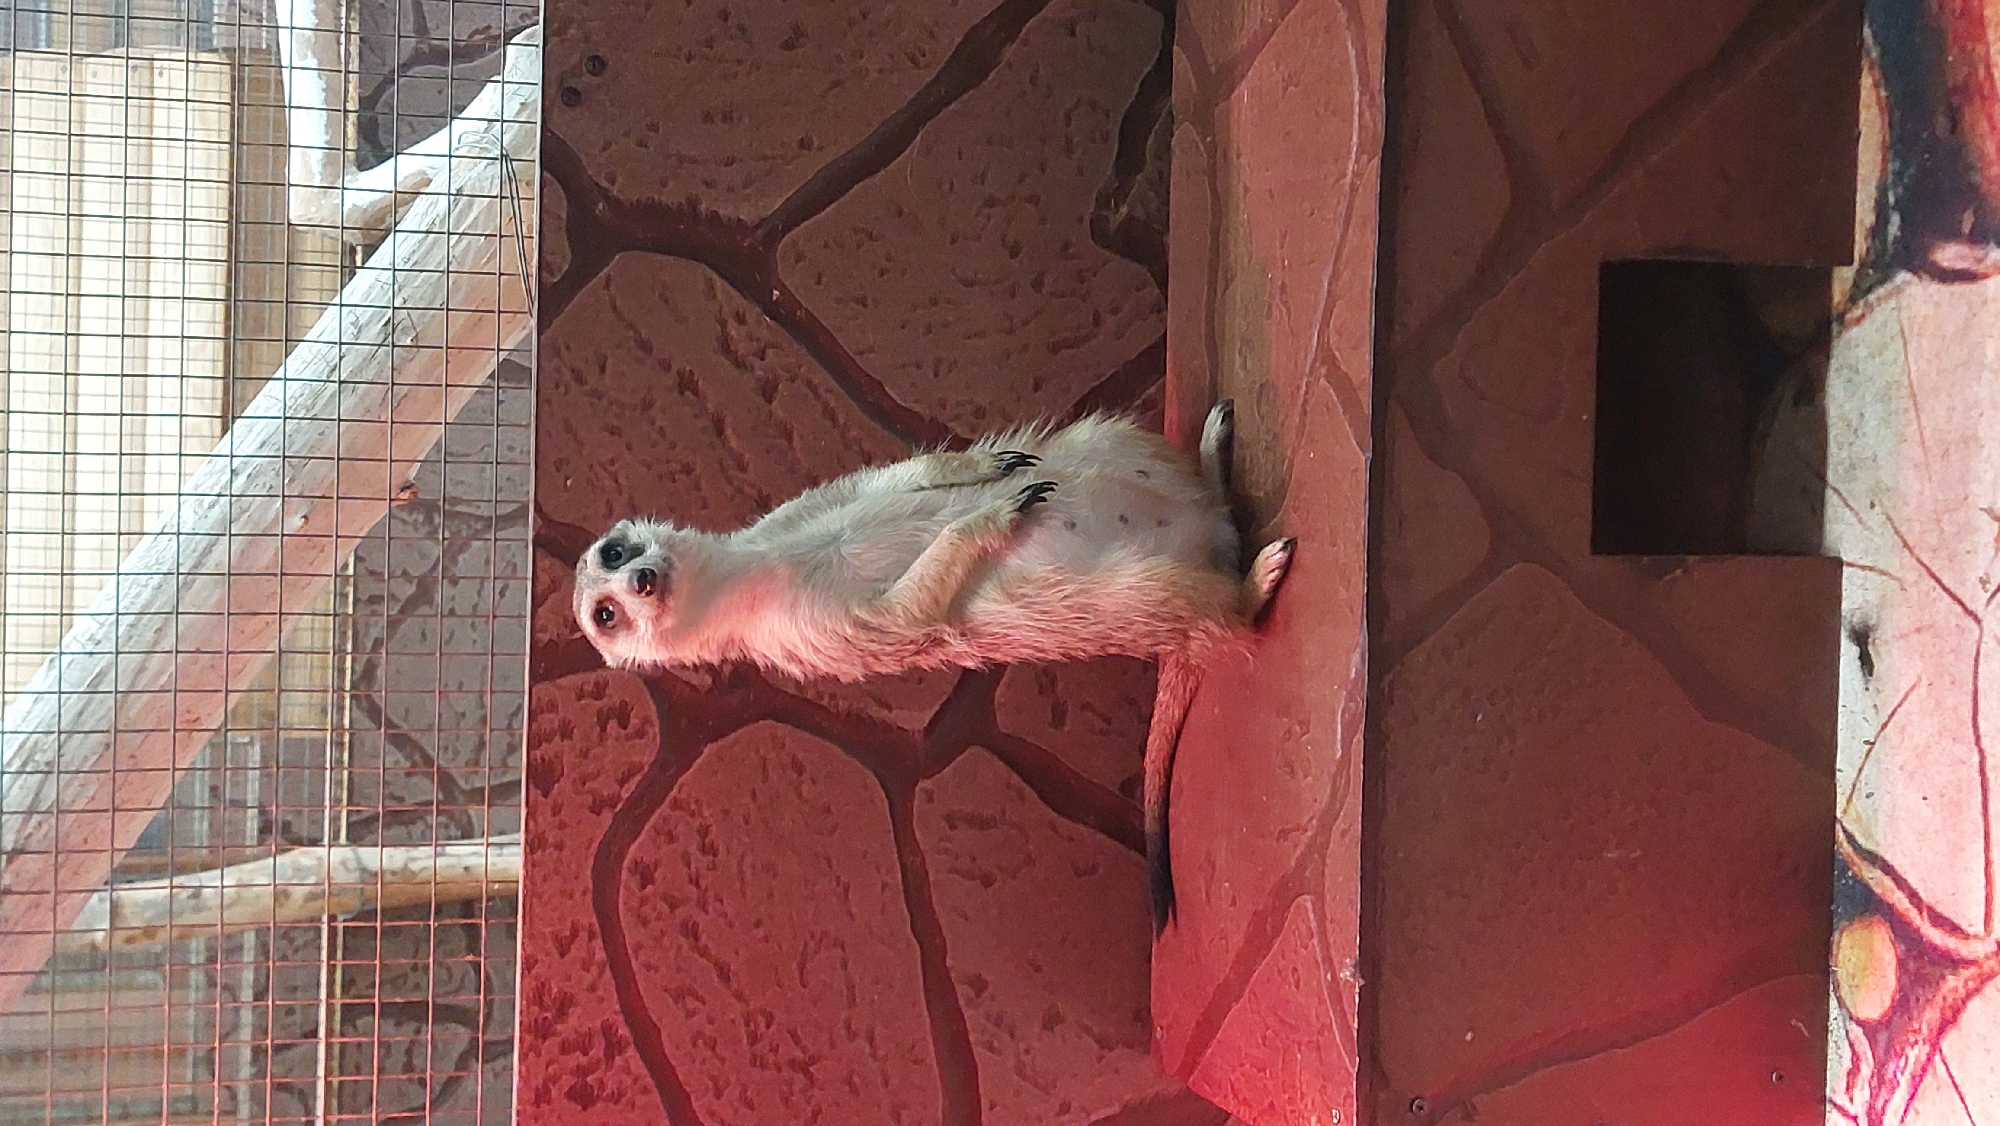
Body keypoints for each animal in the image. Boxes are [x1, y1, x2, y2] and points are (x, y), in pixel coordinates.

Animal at [570, 401, 1294, 932]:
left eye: (615, 550)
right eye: (604, 615)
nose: (640, 580)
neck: (758, 568)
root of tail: (1210, 538)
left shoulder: (797, 508)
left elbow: (882, 476)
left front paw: (977, 463)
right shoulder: (808, 635)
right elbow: (897, 619)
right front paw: (990, 514)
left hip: (1113, 441)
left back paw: (1211, 452)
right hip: (1128, 596)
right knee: (1213, 612)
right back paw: (1253, 580)